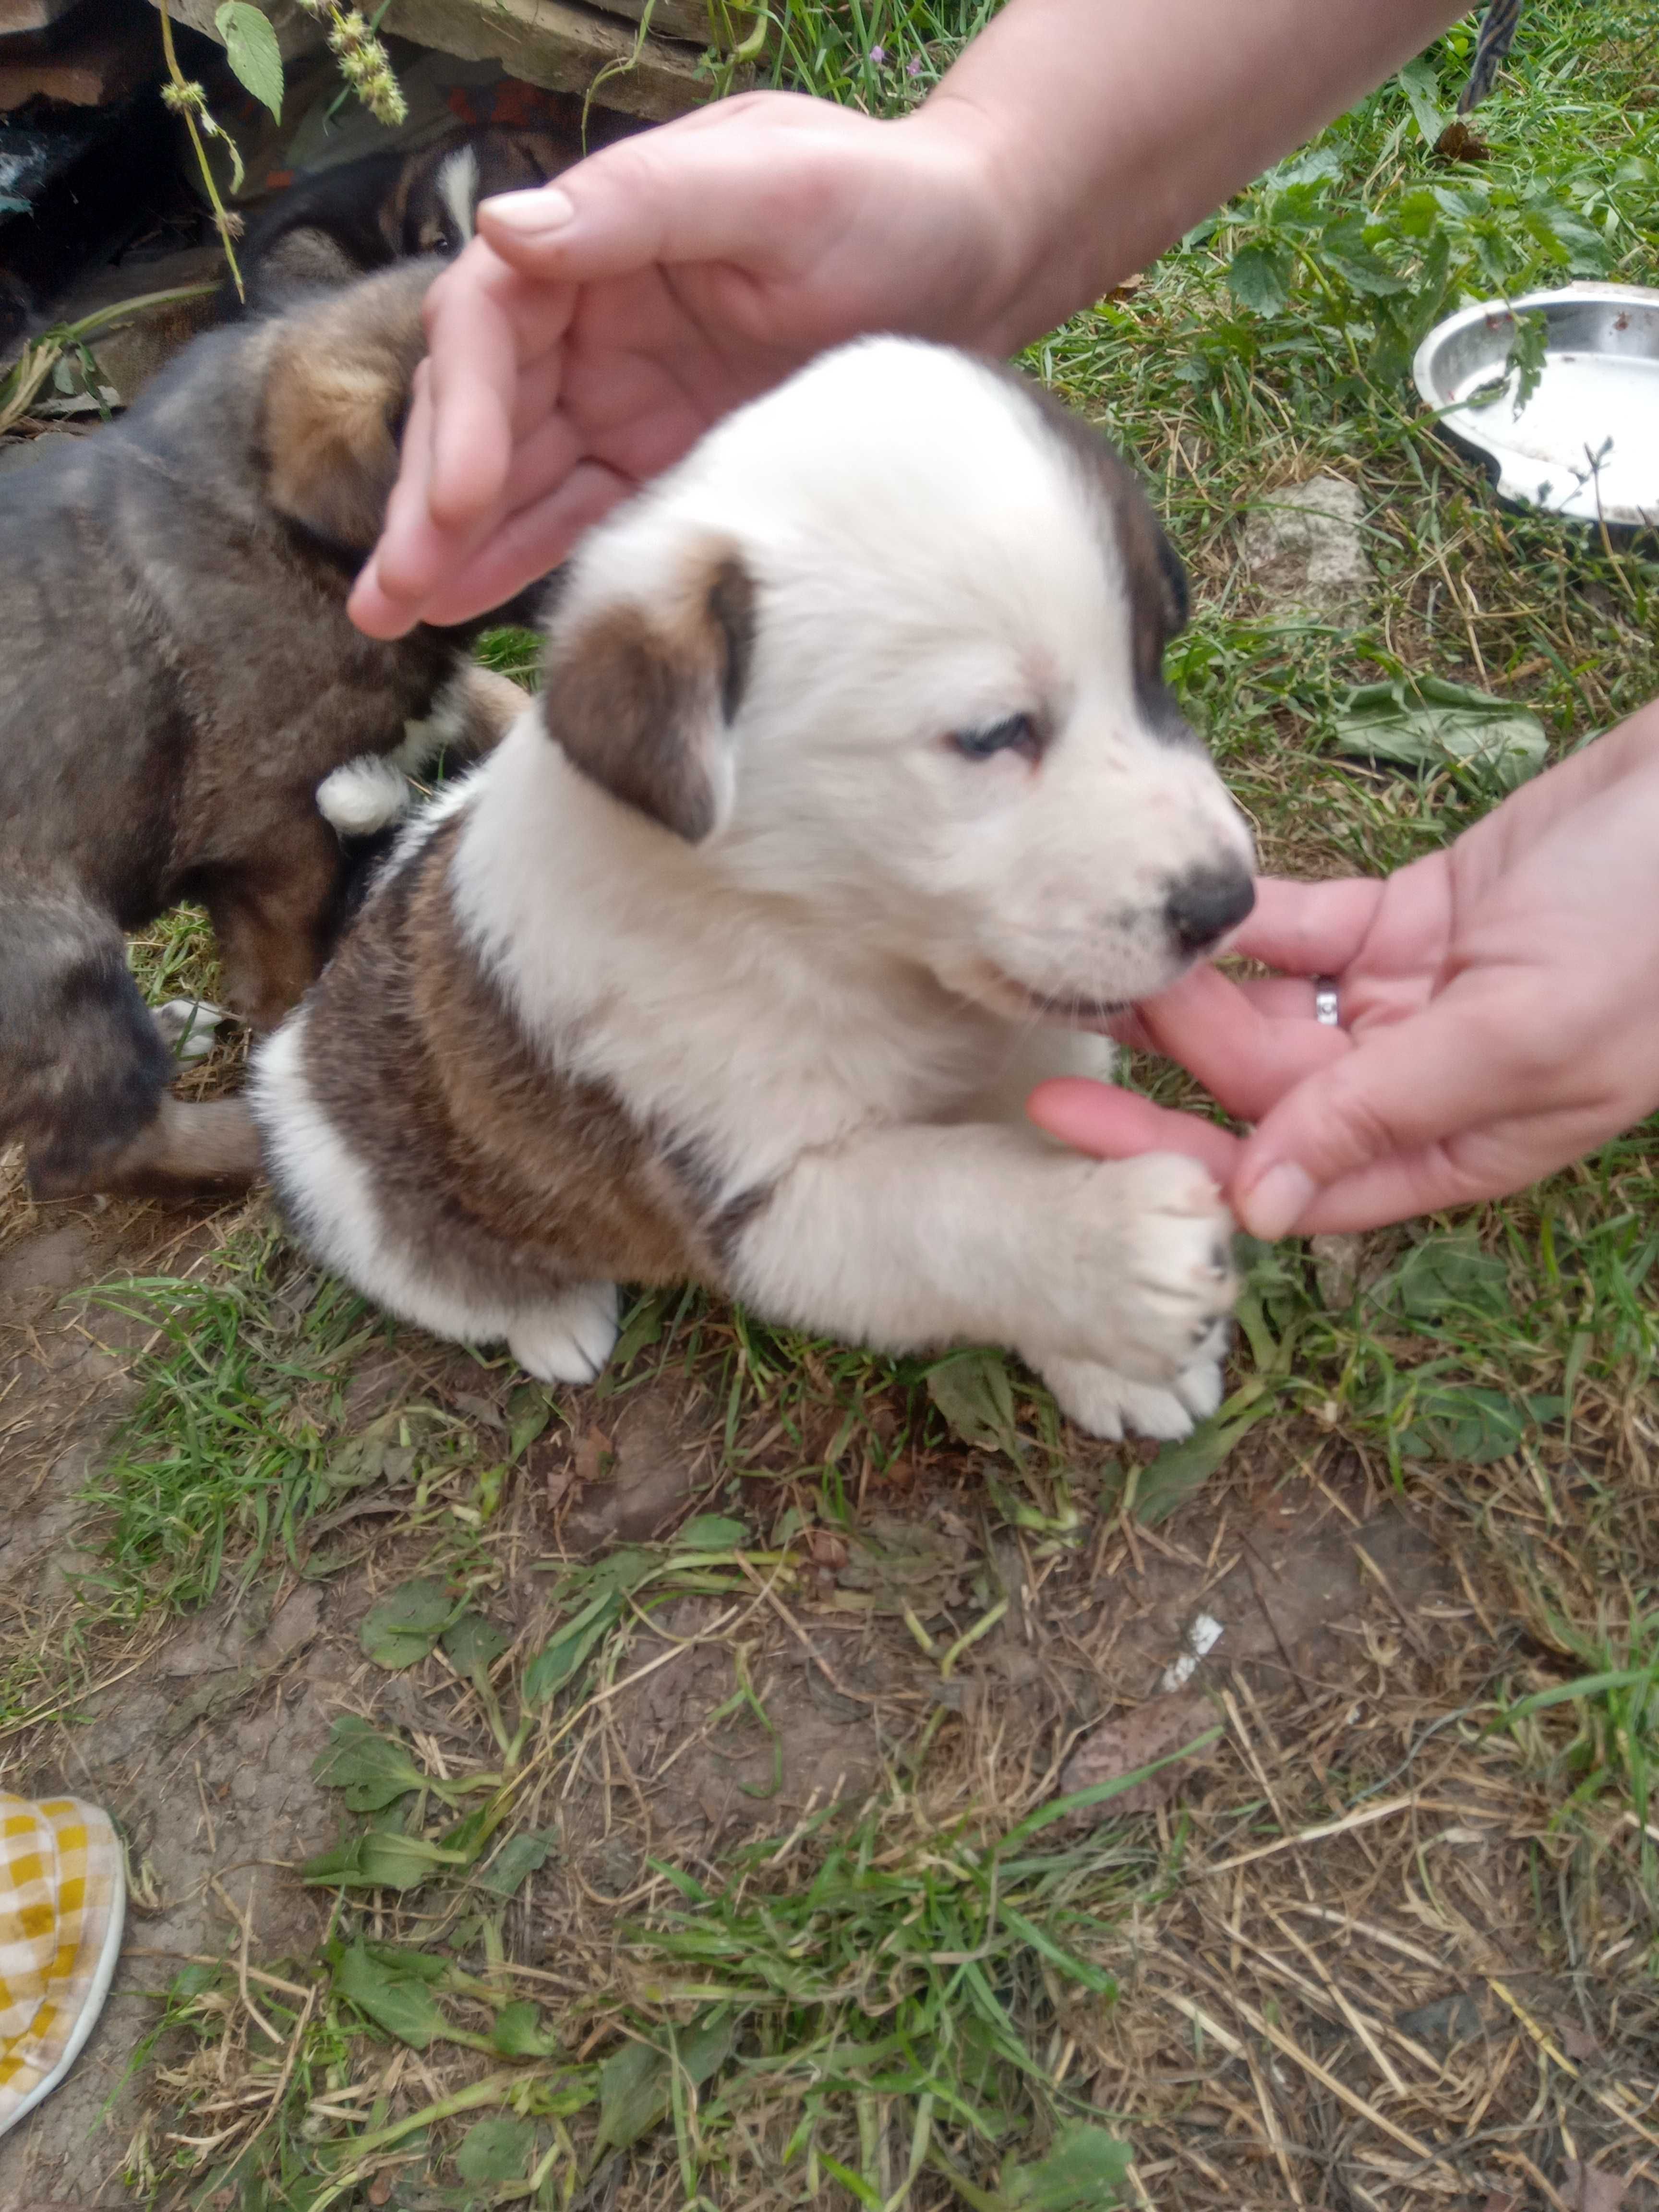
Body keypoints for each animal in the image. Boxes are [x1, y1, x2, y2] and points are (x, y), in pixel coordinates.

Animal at [250, 336, 1256, 1442]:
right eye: (995, 733)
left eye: (1153, 661)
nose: (1227, 904)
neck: (826, 939)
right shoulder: (763, 1195)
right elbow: (955, 1212)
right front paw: (1118, 1255)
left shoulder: (1029, 1031)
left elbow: (1044, 1128)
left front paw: (1107, 1359)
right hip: (335, 1173)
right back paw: (550, 1317)